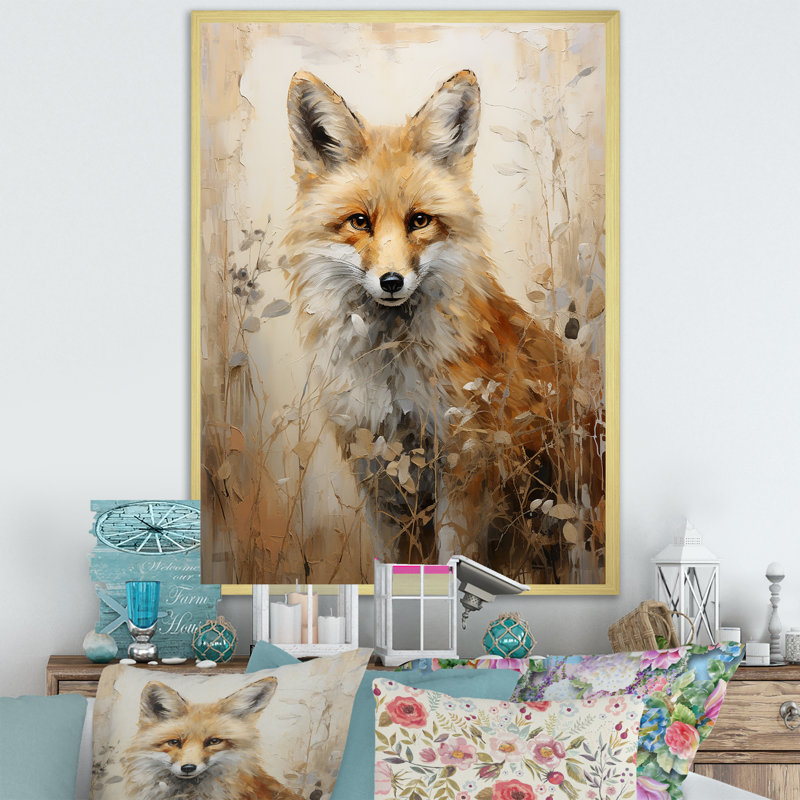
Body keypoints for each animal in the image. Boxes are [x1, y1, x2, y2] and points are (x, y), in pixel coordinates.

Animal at [284, 69, 602, 579]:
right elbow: (389, 563)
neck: (393, 375)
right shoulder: (378, 477)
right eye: (359, 221)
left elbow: (456, 558)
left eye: (419, 221)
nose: (391, 281)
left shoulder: (464, 469)